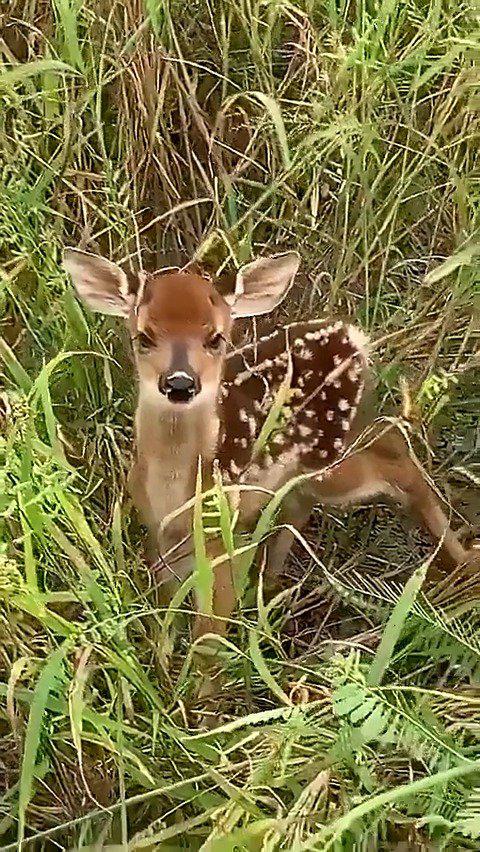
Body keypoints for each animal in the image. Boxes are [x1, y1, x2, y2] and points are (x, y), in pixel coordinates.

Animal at [64, 248, 478, 665]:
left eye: (216, 338)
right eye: (144, 337)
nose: (180, 383)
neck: (175, 493)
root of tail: (350, 334)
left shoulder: (222, 535)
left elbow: (209, 635)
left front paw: (199, 681)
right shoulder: (159, 533)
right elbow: (166, 608)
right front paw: (162, 658)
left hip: (329, 459)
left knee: (394, 450)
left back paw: (461, 558)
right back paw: (273, 592)